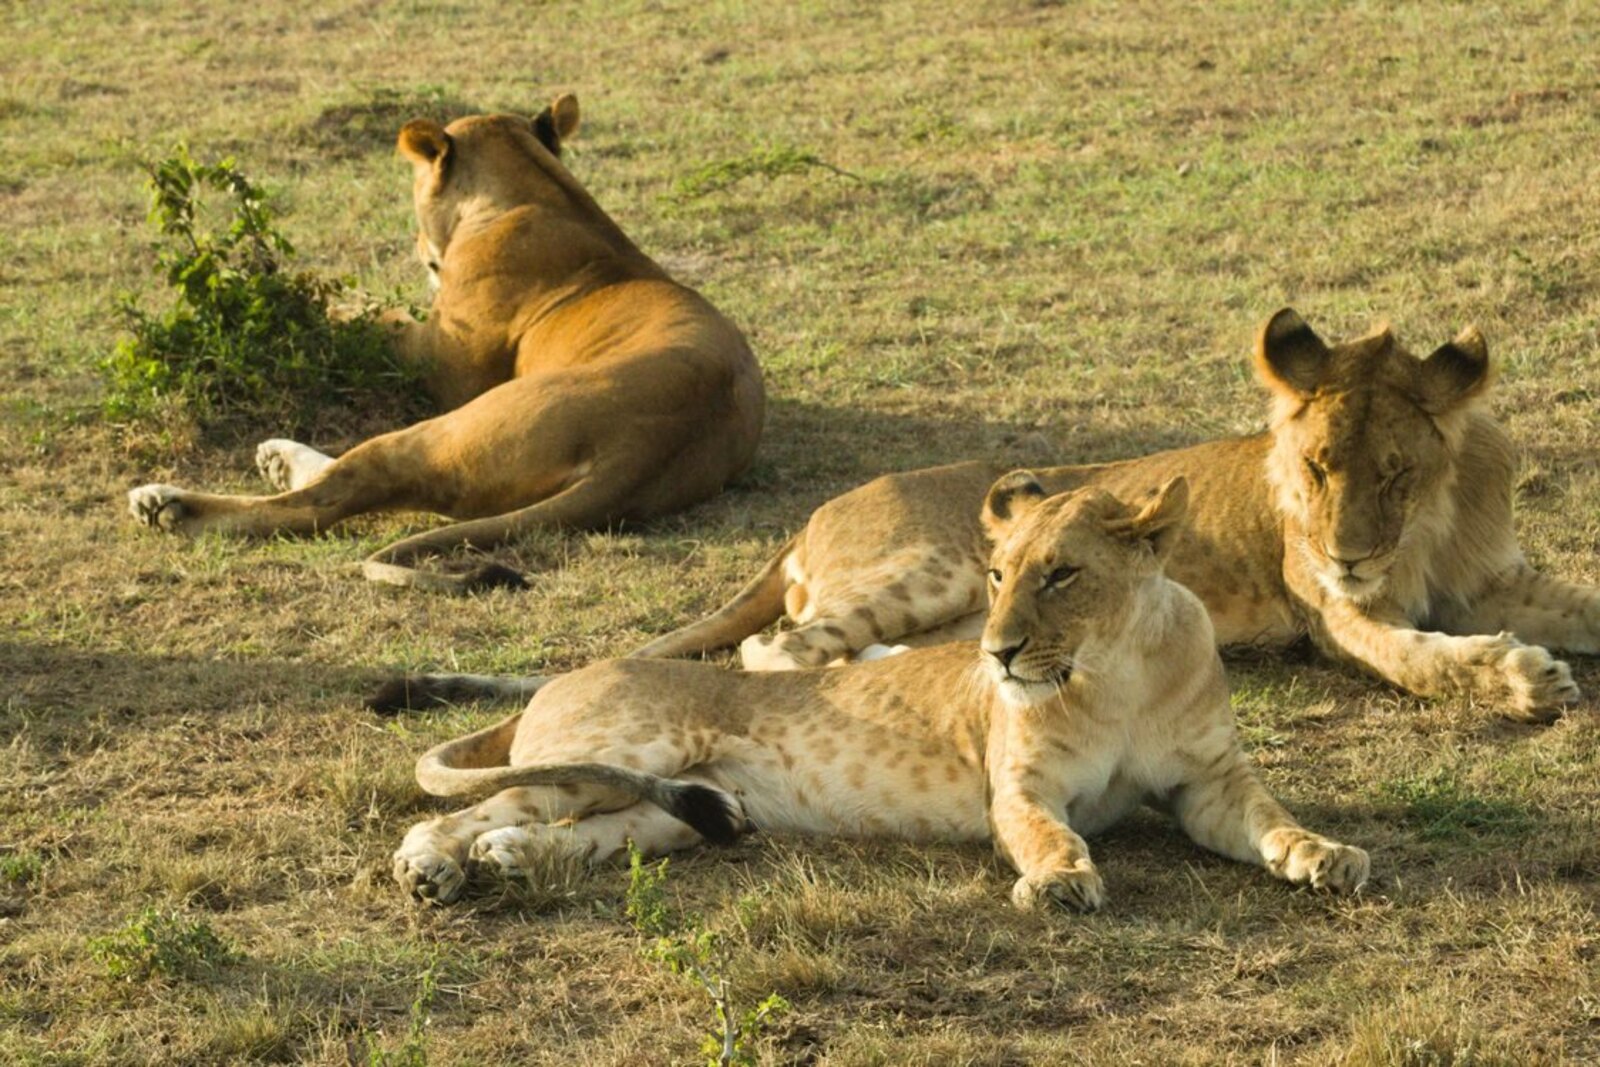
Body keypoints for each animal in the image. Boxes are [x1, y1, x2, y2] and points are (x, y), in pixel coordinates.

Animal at [127, 94, 765, 592]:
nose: (415, 246)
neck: (537, 190)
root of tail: (644, 449)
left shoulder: (440, 362)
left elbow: (369, 319)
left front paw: (289, 297)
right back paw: (272, 462)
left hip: (458, 426)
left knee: (329, 499)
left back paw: (169, 505)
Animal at [392, 476, 1369, 909]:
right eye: (998, 573)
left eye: (1062, 575)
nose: (996, 651)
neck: (1115, 667)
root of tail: (559, 679)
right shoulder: (1020, 787)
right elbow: (1046, 832)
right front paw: (1060, 881)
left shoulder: (1210, 782)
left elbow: (1273, 819)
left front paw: (1326, 855)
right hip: (614, 752)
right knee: (462, 809)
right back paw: (432, 868)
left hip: (689, 808)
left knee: (587, 834)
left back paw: (514, 860)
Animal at [610, 309, 1596, 722]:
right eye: (1317, 469)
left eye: (1395, 473)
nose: (1348, 556)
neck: (1426, 528)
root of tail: (813, 515)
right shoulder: (1337, 615)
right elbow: (1421, 657)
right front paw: (1524, 680)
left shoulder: (1495, 579)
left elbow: (1580, 604)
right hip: (938, 570)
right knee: (775, 649)